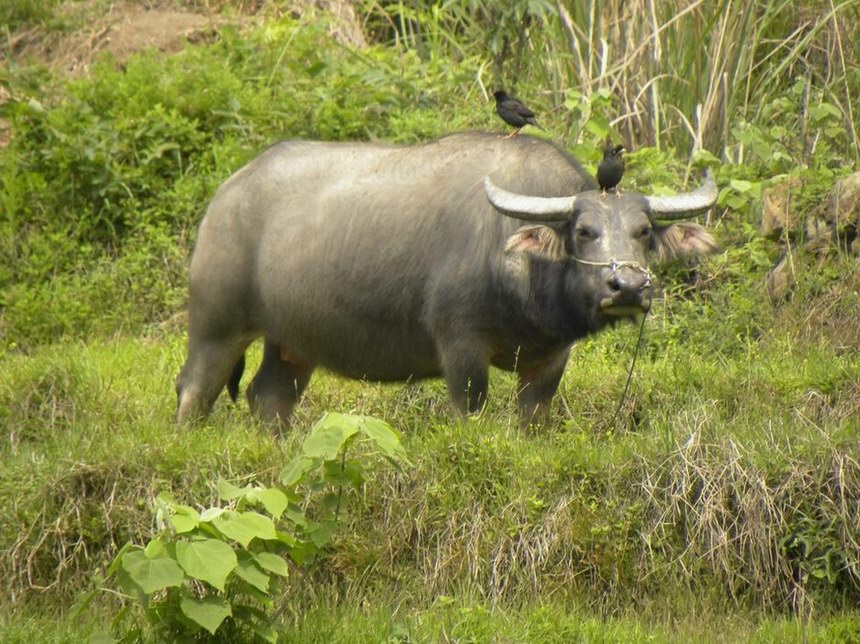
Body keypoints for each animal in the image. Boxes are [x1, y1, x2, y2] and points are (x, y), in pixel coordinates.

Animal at [176, 131, 720, 426]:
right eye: (584, 231)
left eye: (643, 231)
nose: (626, 287)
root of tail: (226, 195)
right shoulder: (460, 347)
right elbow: (470, 407)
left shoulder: (550, 359)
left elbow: (533, 416)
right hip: (216, 323)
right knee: (195, 390)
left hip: (292, 341)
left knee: (270, 397)